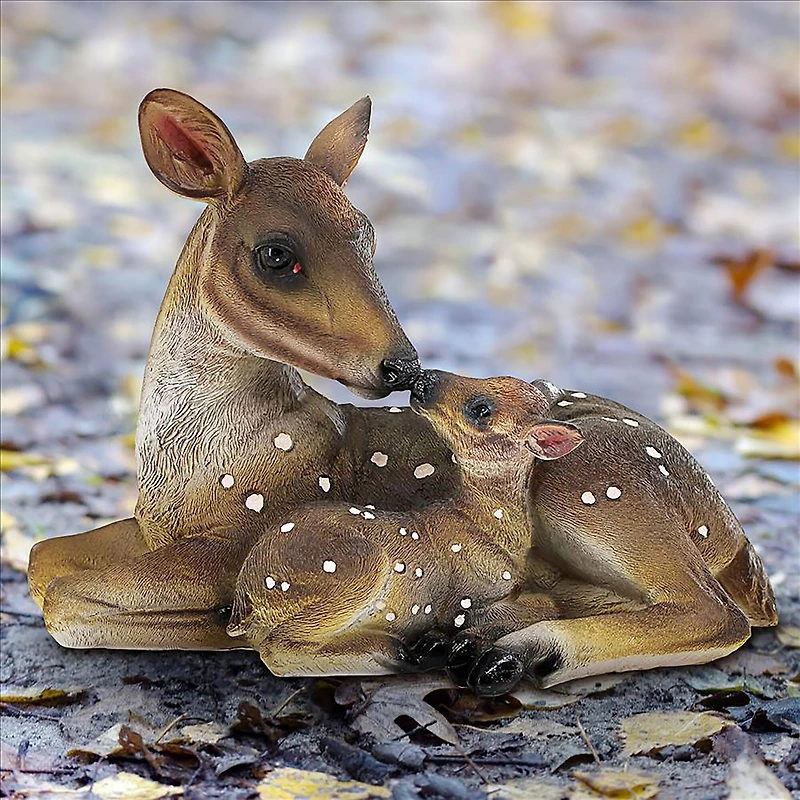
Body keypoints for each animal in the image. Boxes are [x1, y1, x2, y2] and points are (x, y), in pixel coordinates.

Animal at [26, 88, 459, 652]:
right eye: (276, 254)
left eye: (368, 236)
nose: (404, 366)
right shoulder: (154, 527)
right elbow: (42, 560)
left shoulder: (248, 528)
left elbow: (63, 596)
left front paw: (219, 626)